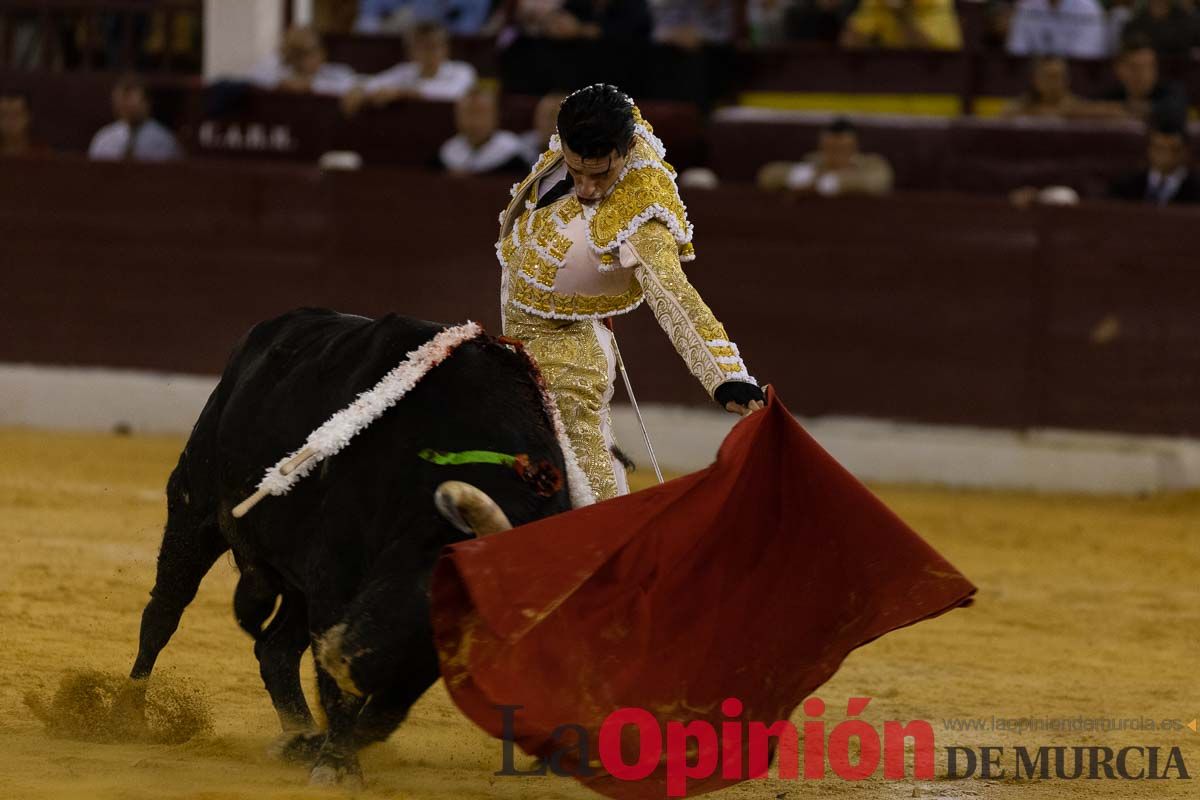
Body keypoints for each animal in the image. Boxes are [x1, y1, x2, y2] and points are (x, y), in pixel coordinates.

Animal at [130, 309, 576, 786]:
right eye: (409, 577)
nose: (342, 658)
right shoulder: (336, 573)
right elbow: (344, 695)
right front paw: (335, 765)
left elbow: (384, 711)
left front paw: (327, 750)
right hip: (194, 509)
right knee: (163, 613)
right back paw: (127, 716)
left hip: (296, 583)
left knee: (275, 650)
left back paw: (300, 735)